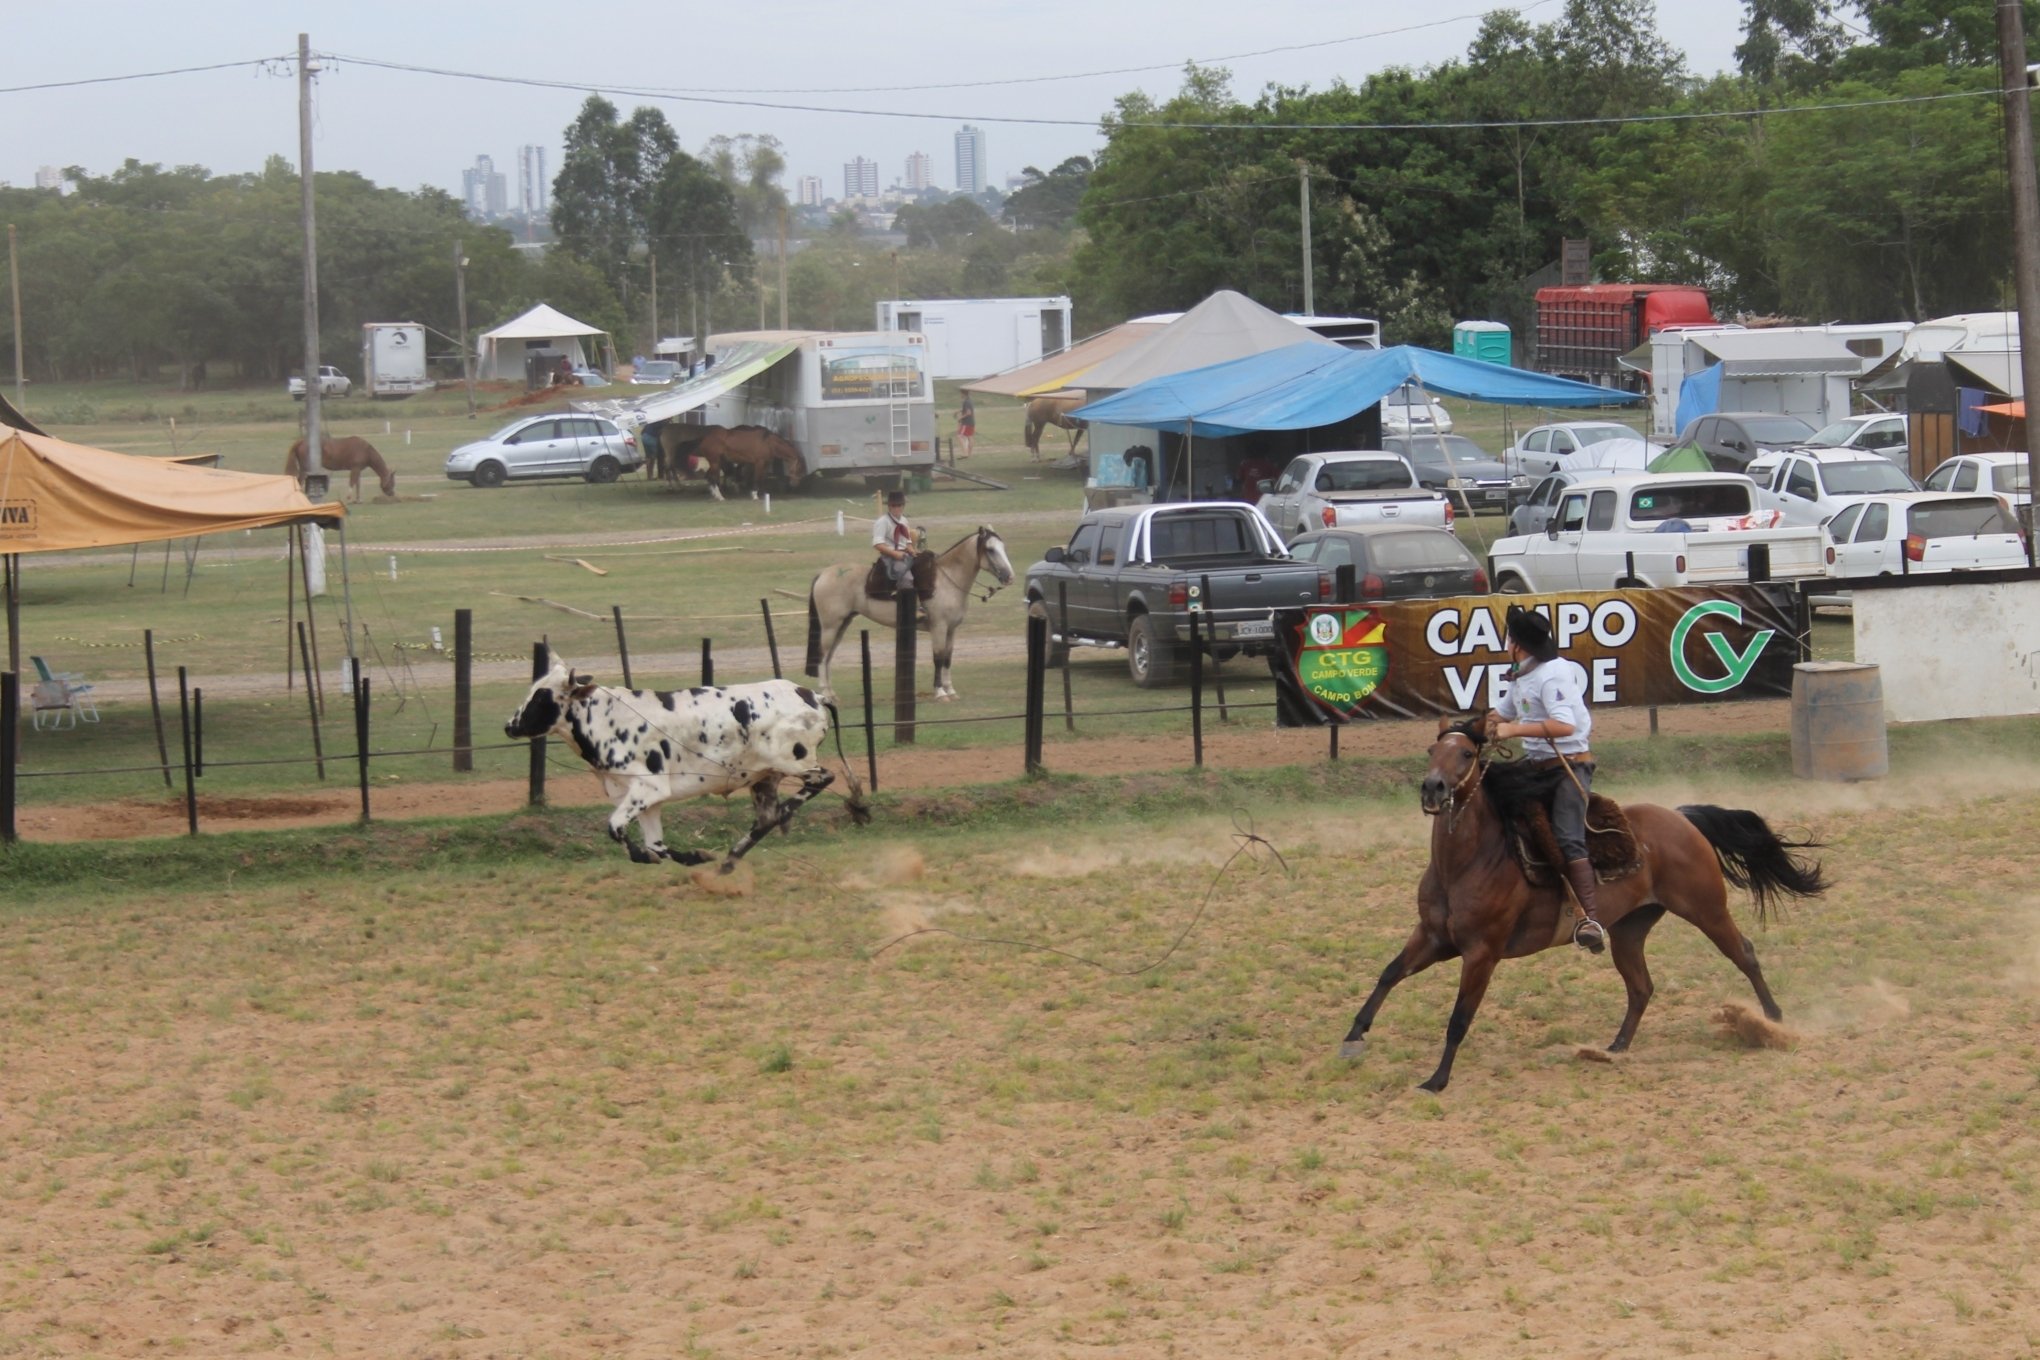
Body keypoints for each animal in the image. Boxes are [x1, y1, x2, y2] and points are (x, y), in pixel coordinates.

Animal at [510, 660, 869, 872]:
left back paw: (786, 816)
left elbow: (617, 829)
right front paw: (697, 856)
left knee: (822, 779)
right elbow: (655, 844)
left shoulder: (648, 787)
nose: (510, 725)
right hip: (764, 778)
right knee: (765, 818)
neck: (606, 718)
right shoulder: (643, 798)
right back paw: (730, 859)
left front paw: (653, 856)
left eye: (541, 696)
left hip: (795, 762)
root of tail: (812, 696)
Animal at [803, 530, 1011, 709]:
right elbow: (938, 658)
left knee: (829, 658)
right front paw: (940, 693)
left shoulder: (951, 629)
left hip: (842, 624)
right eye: (990, 549)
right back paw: (826, 695)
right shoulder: (939, 627)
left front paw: (951, 691)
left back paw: (832, 694)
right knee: (822, 656)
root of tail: (823, 574)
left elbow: (947, 659)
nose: (1009, 576)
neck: (947, 581)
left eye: (1002, 547)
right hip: (830, 626)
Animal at [1338, 717, 1836, 1092]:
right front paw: (1353, 1037)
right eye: (1429, 750)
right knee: (1641, 987)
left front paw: (1437, 1080)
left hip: (1706, 909)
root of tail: (1681, 817)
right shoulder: (1435, 938)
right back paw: (1615, 1048)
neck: (1467, 862)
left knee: (1744, 953)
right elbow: (1389, 974)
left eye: (1464, 755)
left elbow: (1460, 1016)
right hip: (1630, 929)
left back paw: (1772, 1022)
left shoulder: (1481, 952)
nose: (1433, 789)